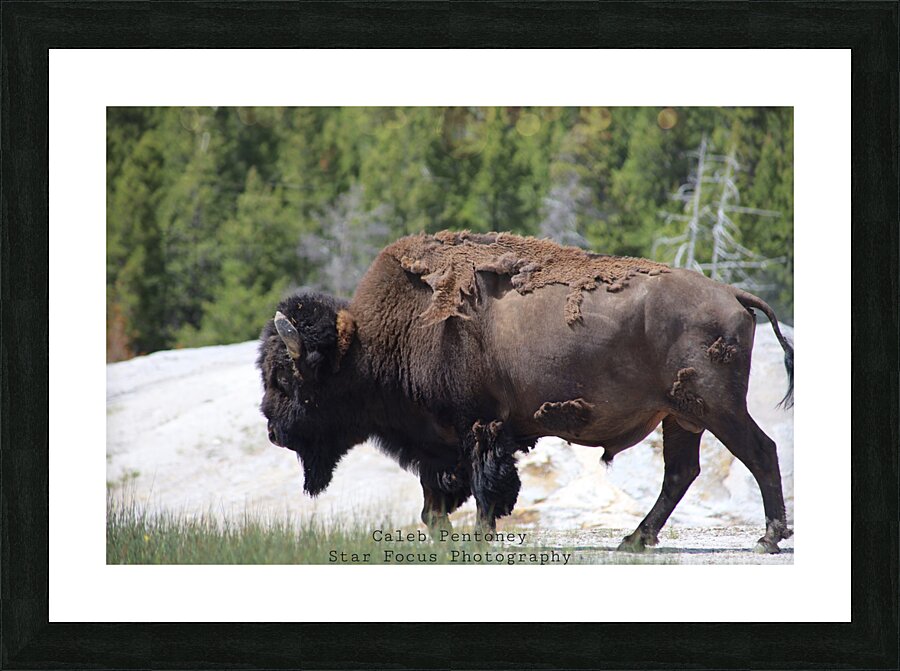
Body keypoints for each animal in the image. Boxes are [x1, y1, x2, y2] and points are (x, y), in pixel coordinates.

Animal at [258, 231, 794, 553]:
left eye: (286, 377)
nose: (272, 431)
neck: (376, 340)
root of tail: (732, 294)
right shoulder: (438, 443)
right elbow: (435, 502)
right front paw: (446, 538)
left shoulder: (478, 429)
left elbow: (485, 488)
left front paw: (479, 538)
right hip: (680, 417)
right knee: (681, 473)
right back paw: (634, 540)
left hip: (716, 407)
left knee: (760, 452)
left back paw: (768, 539)